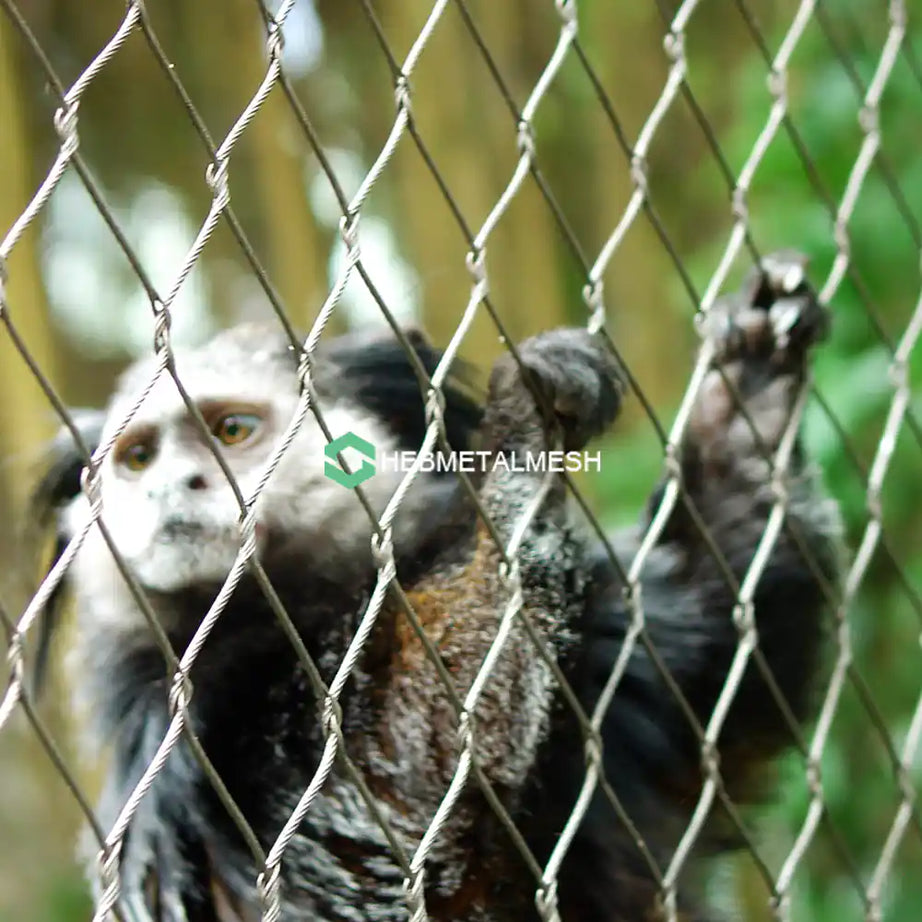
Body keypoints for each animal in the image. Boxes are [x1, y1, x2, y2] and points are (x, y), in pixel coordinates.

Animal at [28, 250, 841, 922]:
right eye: (138, 458)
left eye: (231, 431)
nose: (172, 487)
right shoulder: (214, 745)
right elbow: (408, 802)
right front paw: (522, 434)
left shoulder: (610, 651)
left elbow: (725, 673)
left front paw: (754, 387)